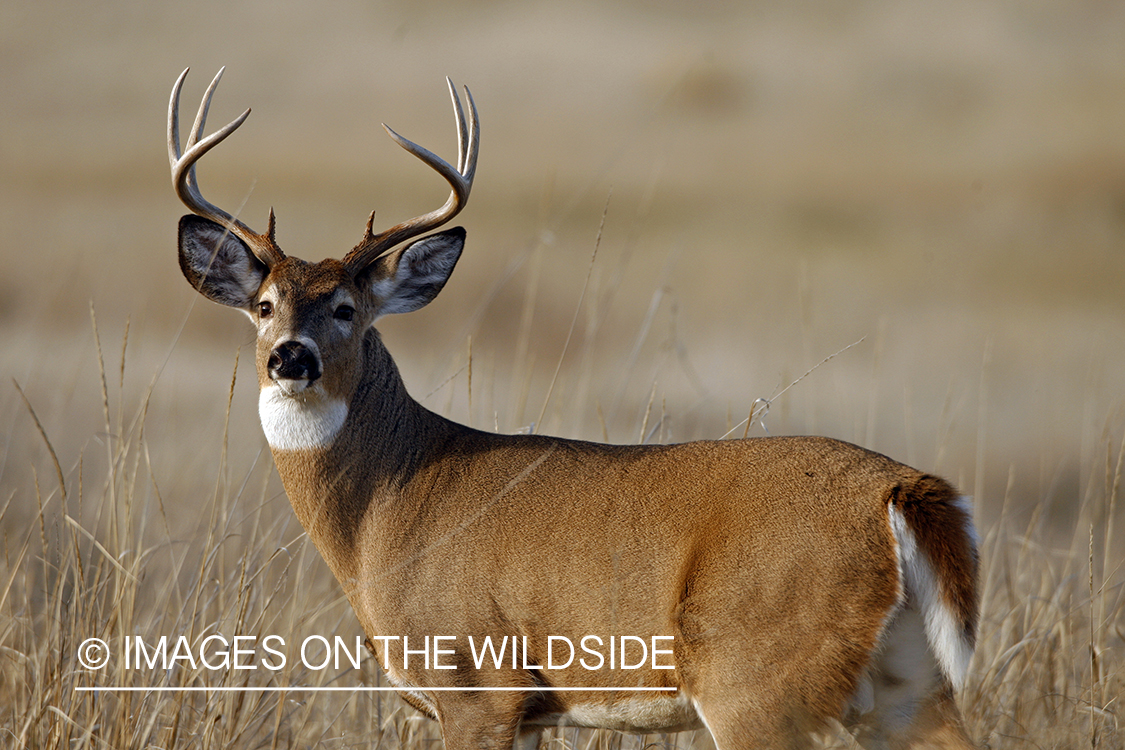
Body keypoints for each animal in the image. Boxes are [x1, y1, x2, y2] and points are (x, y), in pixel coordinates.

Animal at [164, 67, 976, 746]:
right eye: (264, 306)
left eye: (344, 309)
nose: (290, 358)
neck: (386, 512)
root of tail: (900, 490)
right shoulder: (527, 710)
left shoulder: (477, 684)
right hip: (905, 681)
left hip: (757, 676)